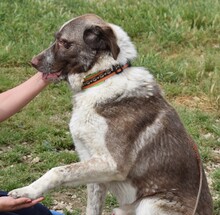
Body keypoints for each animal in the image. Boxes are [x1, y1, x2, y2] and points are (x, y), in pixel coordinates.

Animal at [9, 14, 212, 214]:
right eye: (55, 39)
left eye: (64, 42)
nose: (33, 62)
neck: (102, 76)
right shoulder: (94, 167)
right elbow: (91, 206)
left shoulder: (112, 164)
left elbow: (57, 171)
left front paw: (27, 190)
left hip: (150, 203)